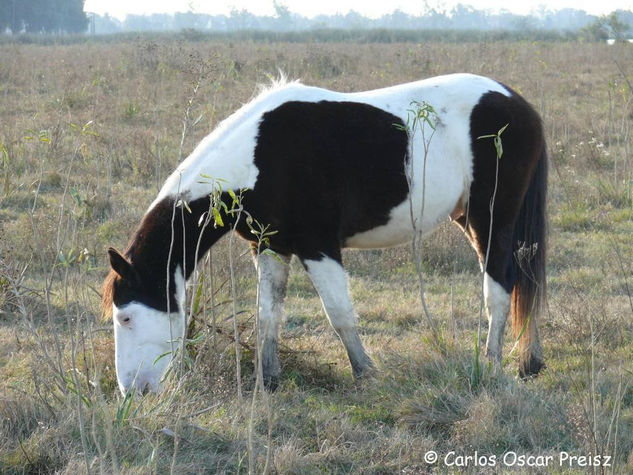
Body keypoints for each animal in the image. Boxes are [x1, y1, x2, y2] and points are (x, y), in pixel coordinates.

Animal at [101, 73, 544, 394]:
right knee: (523, 283)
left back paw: (492, 363)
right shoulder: (270, 248)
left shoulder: (318, 247)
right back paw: (528, 362)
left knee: (501, 288)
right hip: (473, 221)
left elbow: (339, 314)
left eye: (125, 317)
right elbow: (268, 316)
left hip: (492, 221)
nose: (132, 391)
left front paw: (366, 374)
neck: (259, 156)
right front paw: (269, 381)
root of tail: (519, 104)